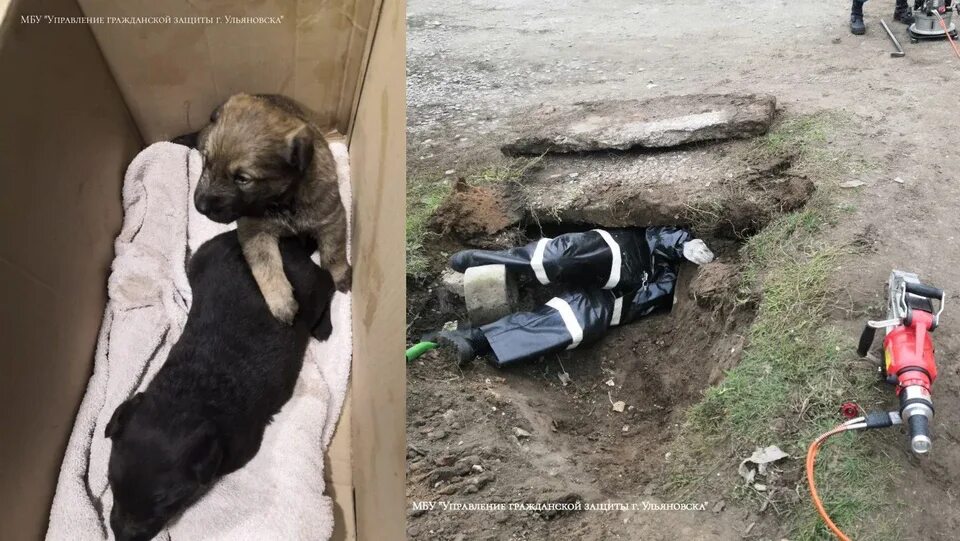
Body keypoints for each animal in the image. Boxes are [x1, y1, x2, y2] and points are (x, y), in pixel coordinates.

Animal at [104, 231, 334, 540]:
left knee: (326, 281)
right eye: (112, 482)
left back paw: (323, 327)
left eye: (166, 503)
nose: (122, 536)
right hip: (202, 256)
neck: (185, 398)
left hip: (308, 287)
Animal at [189, 93, 350, 322]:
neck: (282, 201)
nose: (199, 206)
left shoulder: (331, 216)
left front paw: (338, 275)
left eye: (242, 179)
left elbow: (334, 251)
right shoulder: (255, 231)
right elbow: (265, 264)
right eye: (206, 160)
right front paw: (281, 301)